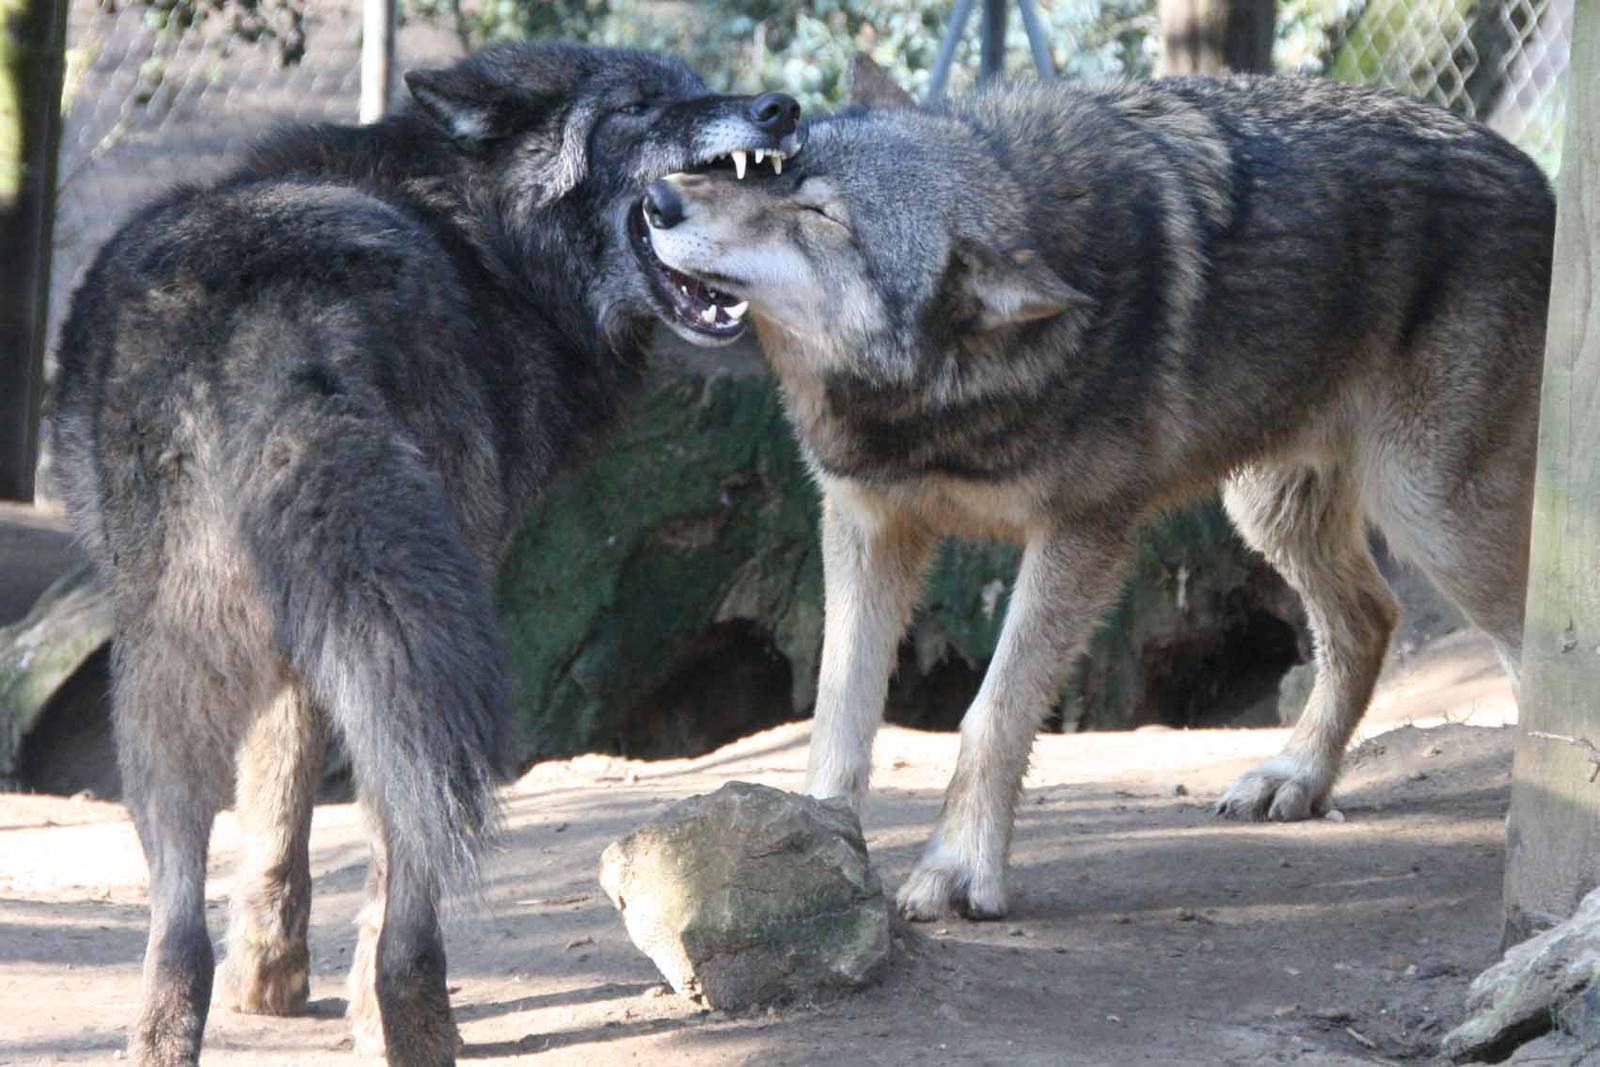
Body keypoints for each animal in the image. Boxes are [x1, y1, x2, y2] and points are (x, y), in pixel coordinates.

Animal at [48, 42, 800, 1066]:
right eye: (640, 105)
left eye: (692, 82)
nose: (780, 109)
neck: (485, 235)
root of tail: (291, 322)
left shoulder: (302, 643)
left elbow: (276, 812)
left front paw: (268, 980)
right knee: (402, 879)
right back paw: (410, 1020)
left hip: (193, 673)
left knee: (181, 923)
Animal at [638, 62, 1553, 923]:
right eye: (772, 170)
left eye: (823, 217)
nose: (656, 199)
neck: (937, 402)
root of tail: (1534, 172)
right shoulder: (866, 522)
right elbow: (839, 711)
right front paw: (813, 849)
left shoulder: (1084, 533)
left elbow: (995, 713)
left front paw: (959, 869)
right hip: (1270, 511)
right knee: (1368, 618)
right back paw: (1294, 776)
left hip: (1430, 512)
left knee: (1524, 639)